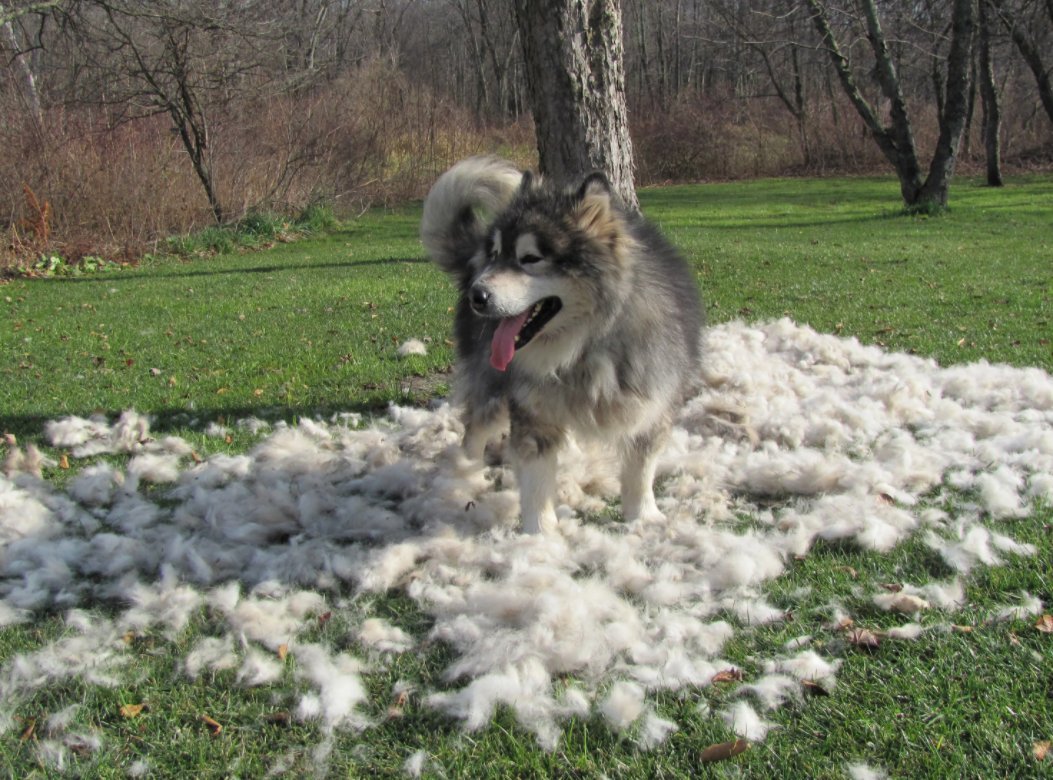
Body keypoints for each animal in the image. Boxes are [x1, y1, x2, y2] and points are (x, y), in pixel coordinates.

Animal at [421, 156, 707, 534]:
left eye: (530, 258)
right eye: (495, 254)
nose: (476, 296)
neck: (581, 349)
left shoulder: (651, 406)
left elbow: (640, 471)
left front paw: (643, 517)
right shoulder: (533, 416)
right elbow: (536, 483)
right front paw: (540, 535)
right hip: (491, 389)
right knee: (474, 433)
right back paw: (466, 476)